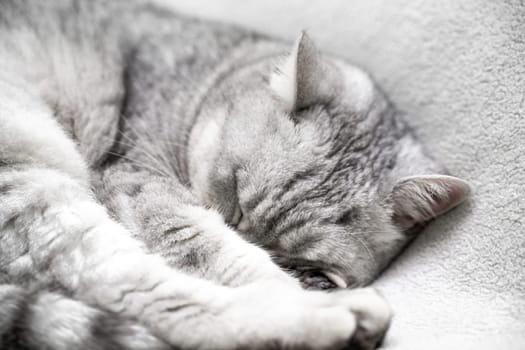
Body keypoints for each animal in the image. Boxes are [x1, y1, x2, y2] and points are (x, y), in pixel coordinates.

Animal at [0, 0, 468, 350]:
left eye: (309, 261)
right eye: (235, 199)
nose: (238, 228)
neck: (211, 75)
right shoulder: (138, 181)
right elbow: (223, 252)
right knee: (131, 288)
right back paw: (332, 316)